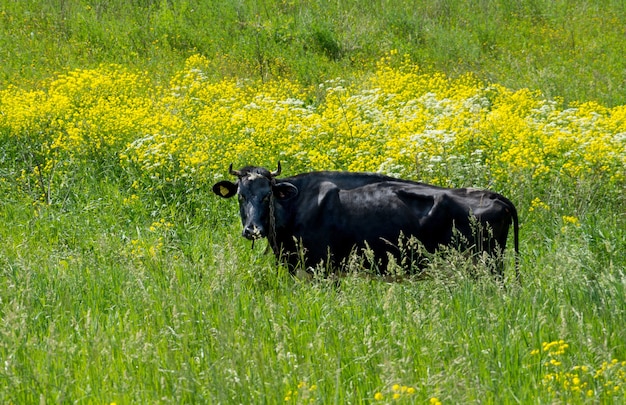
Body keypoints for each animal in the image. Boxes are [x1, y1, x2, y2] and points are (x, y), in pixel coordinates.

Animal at [213, 163, 516, 280]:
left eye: (267, 196)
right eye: (241, 196)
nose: (252, 230)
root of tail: (493, 195)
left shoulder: (325, 268)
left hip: (486, 266)